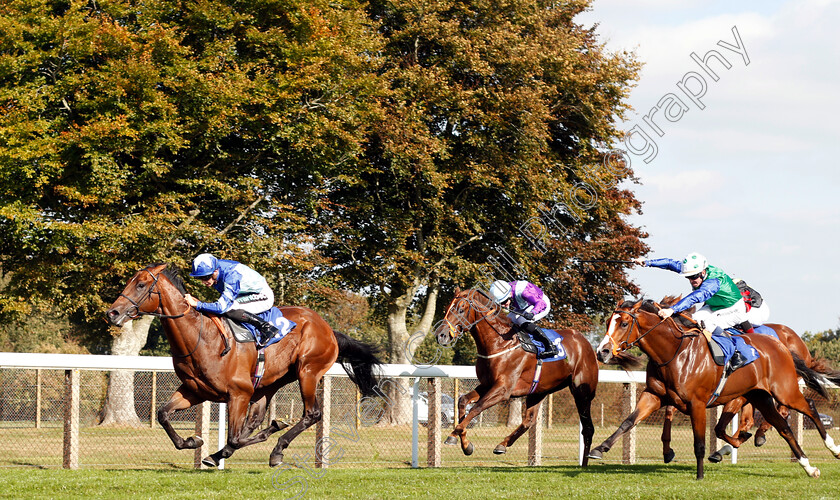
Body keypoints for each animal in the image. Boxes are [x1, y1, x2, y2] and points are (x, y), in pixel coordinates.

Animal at [105, 264, 380, 466]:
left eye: (141, 284)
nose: (113, 313)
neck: (200, 337)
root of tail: (329, 329)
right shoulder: (195, 391)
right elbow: (163, 414)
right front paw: (193, 442)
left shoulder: (239, 393)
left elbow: (235, 439)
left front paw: (271, 432)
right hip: (269, 383)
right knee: (254, 419)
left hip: (308, 371)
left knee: (311, 414)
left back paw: (276, 450)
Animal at [434, 288, 596, 462]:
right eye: (447, 308)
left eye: (461, 309)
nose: (441, 335)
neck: (499, 343)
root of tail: (585, 342)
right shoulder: (487, 385)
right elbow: (463, 401)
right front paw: (465, 445)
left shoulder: (503, 389)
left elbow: (476, 408)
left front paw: (453, 435)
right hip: (539, 391)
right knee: (528, 421)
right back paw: (502, 445)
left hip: (582, 392)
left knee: (588, 428)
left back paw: (586, 461)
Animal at [592, 298, 840, 478]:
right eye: (607, 322)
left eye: (624, 323)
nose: (602, 352)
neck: (674, 351)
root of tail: (782, 345)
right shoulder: (654, 396)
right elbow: (628, 422)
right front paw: (599, 448)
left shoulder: (698, 404)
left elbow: (701, 442)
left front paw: (700, 475)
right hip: (760, 396)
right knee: (783, 427)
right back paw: (808, 467)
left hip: (784, 391)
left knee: (808, 407)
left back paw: (833, 449)